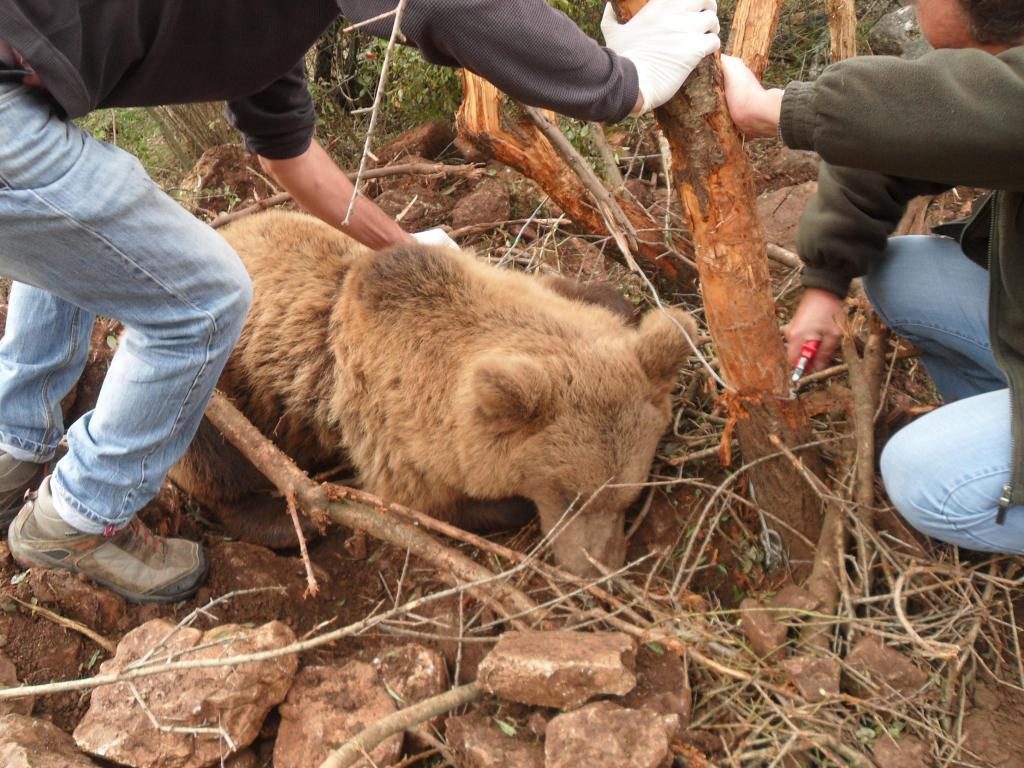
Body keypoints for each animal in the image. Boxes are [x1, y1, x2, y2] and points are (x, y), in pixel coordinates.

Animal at [172, 210, 700, 577]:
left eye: (630, 495)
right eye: (570, 496)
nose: (598, 567)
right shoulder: (389, 429)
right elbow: (430, 502)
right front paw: (506, 502)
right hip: (219, 383)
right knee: (211, 452)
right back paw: (283, 519)